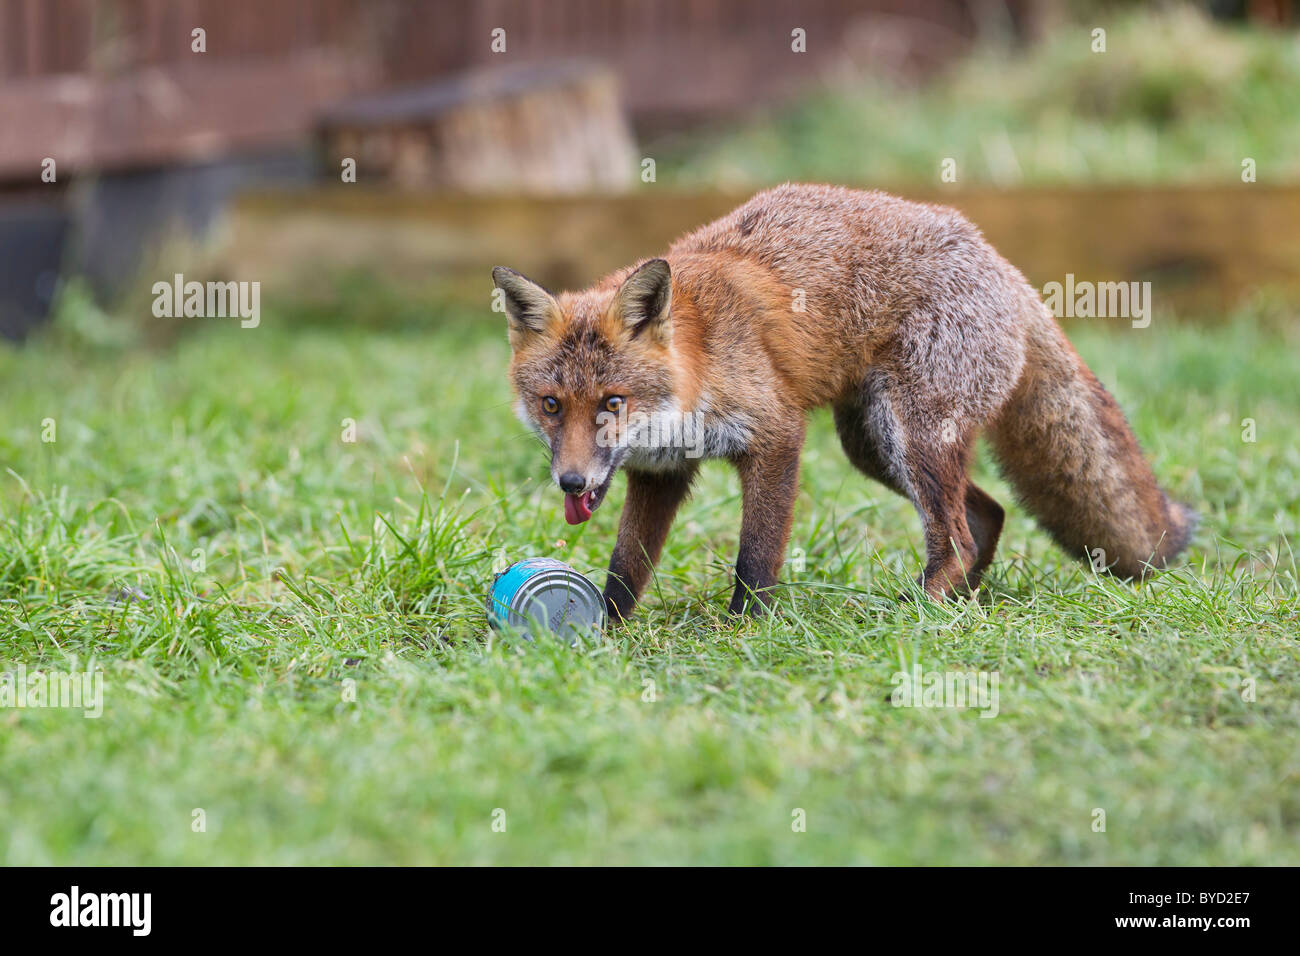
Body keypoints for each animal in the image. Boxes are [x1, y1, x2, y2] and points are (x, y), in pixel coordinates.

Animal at [496, 184, 1196, 621]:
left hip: (915, 434)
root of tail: (1002, 265)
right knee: (986, 516)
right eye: (552, 405)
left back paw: (919, 613)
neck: (699, 362)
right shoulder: (659, 473)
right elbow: (626, 567)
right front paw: (605, 631)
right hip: (875, 447)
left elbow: (756, 558)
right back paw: (963, 605)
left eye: (612, 401)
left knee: (958, 536)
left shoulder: (776, 437)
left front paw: (743, 630)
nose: (571, 481)